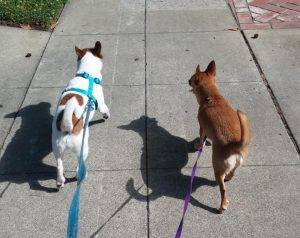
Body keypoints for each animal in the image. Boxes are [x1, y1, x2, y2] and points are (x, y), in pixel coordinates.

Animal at [51, 41, 110, 188]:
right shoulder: (101, 102)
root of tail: (68, 127)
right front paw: (106, 115)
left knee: (59, 165)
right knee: (79, 165)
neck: (86, 74)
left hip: (57, 149)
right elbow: (105, 109)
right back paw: (81, 175)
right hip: (82, 149)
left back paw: (60, 181)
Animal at [189, 60, 252, 213]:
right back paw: (228, 178)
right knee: (232, 173)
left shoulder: (202, 127)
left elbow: (201, 138)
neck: (212, 96)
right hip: (235, 164)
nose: (187, 81)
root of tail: (235, 145)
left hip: (217, 168)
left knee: (223, 189)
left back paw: (222, 205)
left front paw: (199, 145)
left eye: (191, 80)